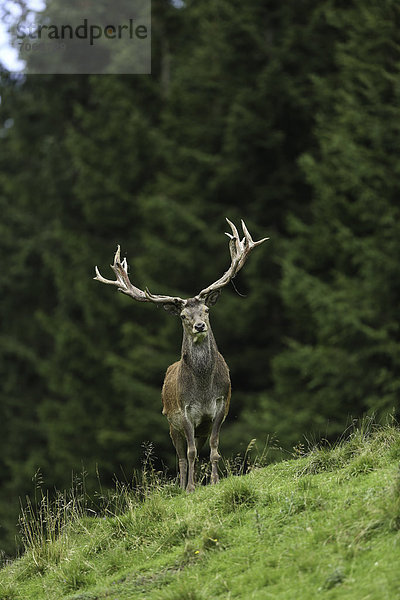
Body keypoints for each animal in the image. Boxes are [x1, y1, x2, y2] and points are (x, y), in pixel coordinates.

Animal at [94, 220, 268, 492]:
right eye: (184, 316)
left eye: (206, 310)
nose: (199, 326)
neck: (204, 388)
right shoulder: (184, 412)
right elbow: (190, 454)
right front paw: (191, 488)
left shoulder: (221, 407)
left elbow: (214, 449)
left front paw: (215, 481)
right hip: (170, 423)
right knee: (181, 456)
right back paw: (183, 485)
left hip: (199, 427)